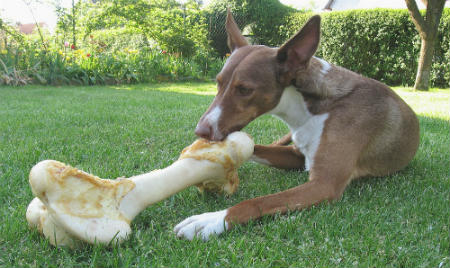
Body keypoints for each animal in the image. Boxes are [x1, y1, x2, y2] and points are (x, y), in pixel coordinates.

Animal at [174, 11, 420, 241]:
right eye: (218, 83)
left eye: (244, 89)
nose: (201, 131)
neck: (309, 110)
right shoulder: (297, 157)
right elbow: (255, 148)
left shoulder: (325, 183)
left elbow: (258, 202)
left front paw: (212, 220)